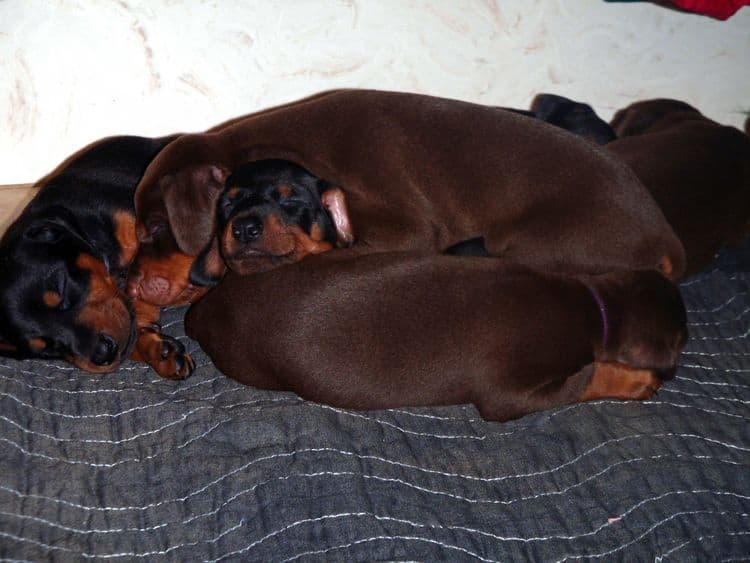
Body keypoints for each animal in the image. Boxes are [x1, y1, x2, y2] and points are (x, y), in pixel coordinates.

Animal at [185, 252, 692, 424]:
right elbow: (585, 379)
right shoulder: (509, 393)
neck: (594, 303)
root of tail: (202, 312)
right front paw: (633, 380)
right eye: (685, 340)